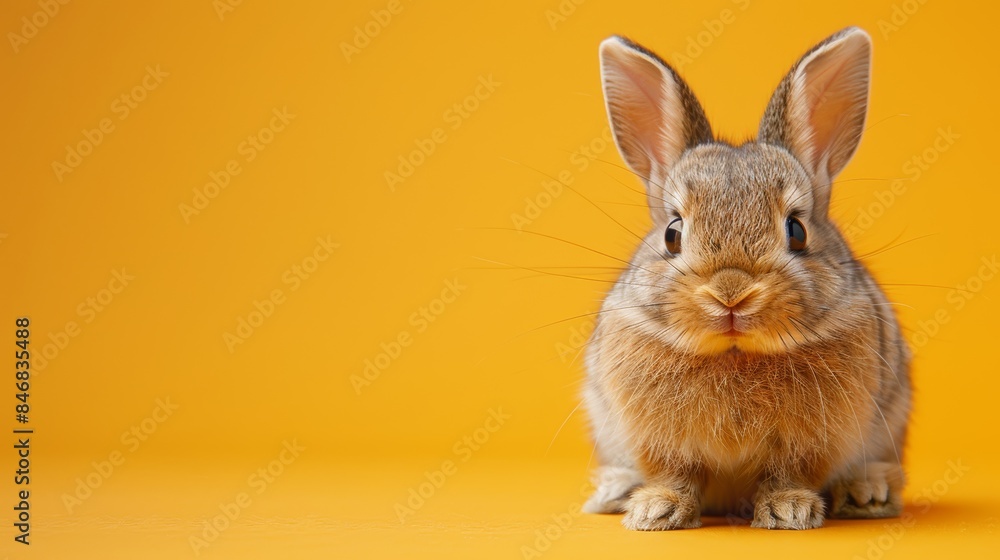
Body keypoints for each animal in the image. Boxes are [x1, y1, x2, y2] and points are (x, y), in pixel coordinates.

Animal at [582, 27, 911, 530]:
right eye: (673, 233)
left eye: (796, 230)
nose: (731, 294)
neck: (734, 353)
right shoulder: (657, 441)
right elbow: (675, 473)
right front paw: (656, 510)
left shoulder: (811, 441)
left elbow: (788, 472)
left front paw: (790, 510)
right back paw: (614, 490)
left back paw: (867, 492)